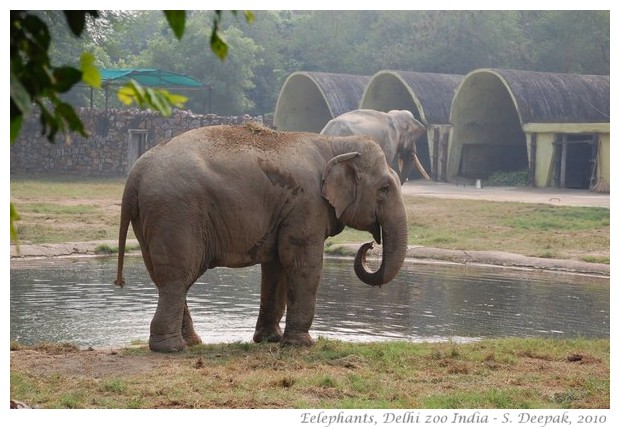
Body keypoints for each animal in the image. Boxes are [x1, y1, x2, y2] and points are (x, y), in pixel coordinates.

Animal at [114, 123, 410, 352]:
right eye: (384, 189)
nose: (369, 246)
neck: (333, 145)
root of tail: (135, 174)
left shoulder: (287, 210)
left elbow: (277, 265)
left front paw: (270, 340)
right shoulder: (306, 204)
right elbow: (302, 263)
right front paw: (303, 344)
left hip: (151, 219)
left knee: (165, 278)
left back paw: (192, 342)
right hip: (176, 213)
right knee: (177, 277)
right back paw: (173, 348)